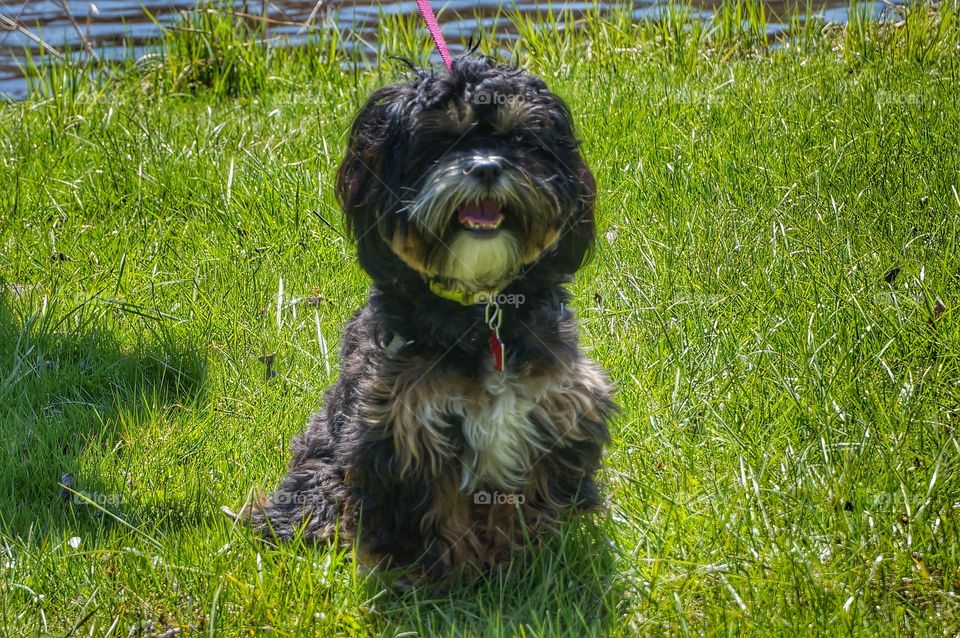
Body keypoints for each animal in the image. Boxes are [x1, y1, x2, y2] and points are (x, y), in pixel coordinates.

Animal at [249, 57, 616, 584]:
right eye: (440, 142)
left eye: (519, 140)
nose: (486, 167)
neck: (481, 308)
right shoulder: (402, 429)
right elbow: (438, 514)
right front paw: (441, 578)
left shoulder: (555, 411)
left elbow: (528, 502)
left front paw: (524, 564)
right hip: (321, 465)